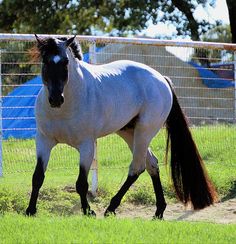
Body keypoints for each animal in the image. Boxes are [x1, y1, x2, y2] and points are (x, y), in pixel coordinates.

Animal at [25, 34, 218, 219]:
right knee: (151, 164)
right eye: (45, 61)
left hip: (144, 133)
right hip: (129, 133)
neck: (65, 108)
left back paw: (111, 208)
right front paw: (30, 210)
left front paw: (88, 211)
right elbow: (37, 177)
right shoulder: (44, 141)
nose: (56, 99)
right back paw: (158, 211)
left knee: (137, 167)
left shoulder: (87, 146)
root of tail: (161, 79)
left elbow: (81, 183)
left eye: (65, 62)